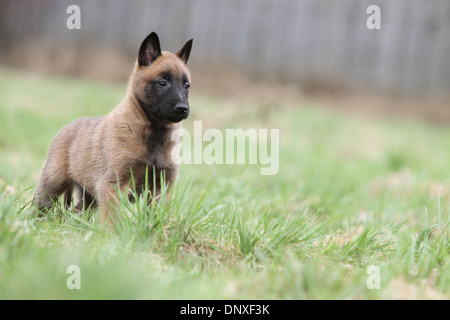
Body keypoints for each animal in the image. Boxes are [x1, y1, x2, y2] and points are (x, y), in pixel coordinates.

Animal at [33, 31, 192, 224]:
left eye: (186, 86)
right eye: (163, 82)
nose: (183, 108)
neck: (154, 133)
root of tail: (67, 127)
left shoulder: (160, 190)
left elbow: (155, 217)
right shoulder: (113, 185)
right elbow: (112, 220)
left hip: (90, 196)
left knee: (77, 212)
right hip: (53, 182)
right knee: (40, 204)